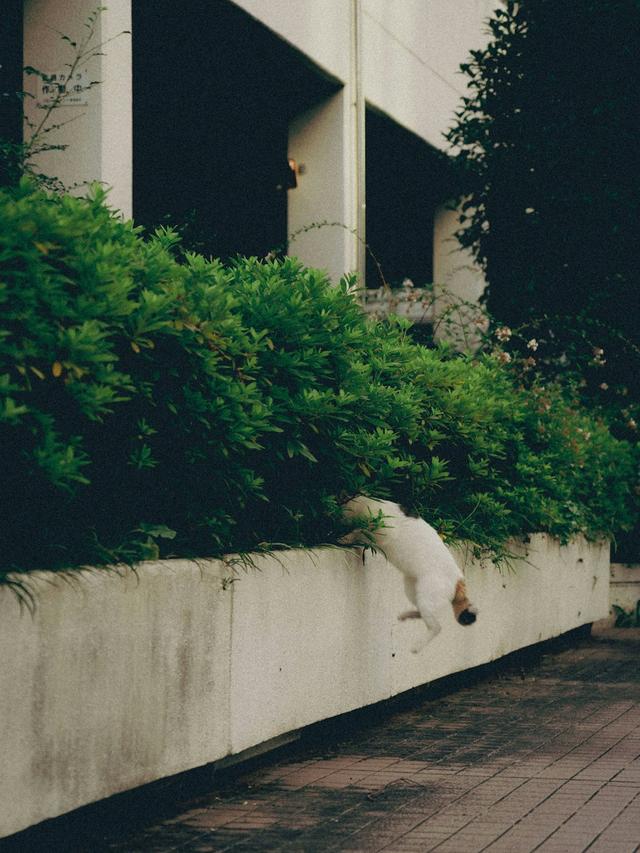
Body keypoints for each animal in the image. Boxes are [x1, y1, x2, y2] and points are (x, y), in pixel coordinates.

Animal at [342, 492, 478, 644]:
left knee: (436, 627)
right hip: (413, 591)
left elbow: (361, 531)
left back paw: (417, 646)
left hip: (427, 596)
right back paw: (405, 615)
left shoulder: (383, 530)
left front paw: (346, 537)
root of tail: (458, 578)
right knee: (422, 614)